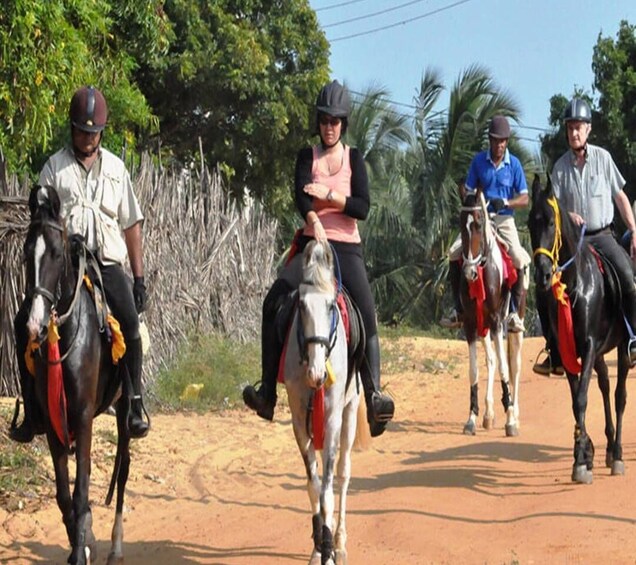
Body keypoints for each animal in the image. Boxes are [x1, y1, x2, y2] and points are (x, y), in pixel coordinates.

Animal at [22, 184, 132, 560]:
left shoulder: (82, 416)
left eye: (57, 255)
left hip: (124, 411)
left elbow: (82, 490)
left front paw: (83, 549)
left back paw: (116, 545)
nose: (35, 325)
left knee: (123, 469)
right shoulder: (54, 422)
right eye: (26, 254)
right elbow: (63, 495)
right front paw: (81, 544)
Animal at [528, 174, 628, 482]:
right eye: (530, 222)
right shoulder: (568, 350)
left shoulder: (589, 345)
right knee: (606, 387)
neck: (575, 285)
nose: (543, 274)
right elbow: (576, 400)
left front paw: (583, 459)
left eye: (551, 222)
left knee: (619, 396)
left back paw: (617, 454)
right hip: (600, 354)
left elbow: (582, 399)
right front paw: (583, 455)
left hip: (620, 348)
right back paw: (607, 448)